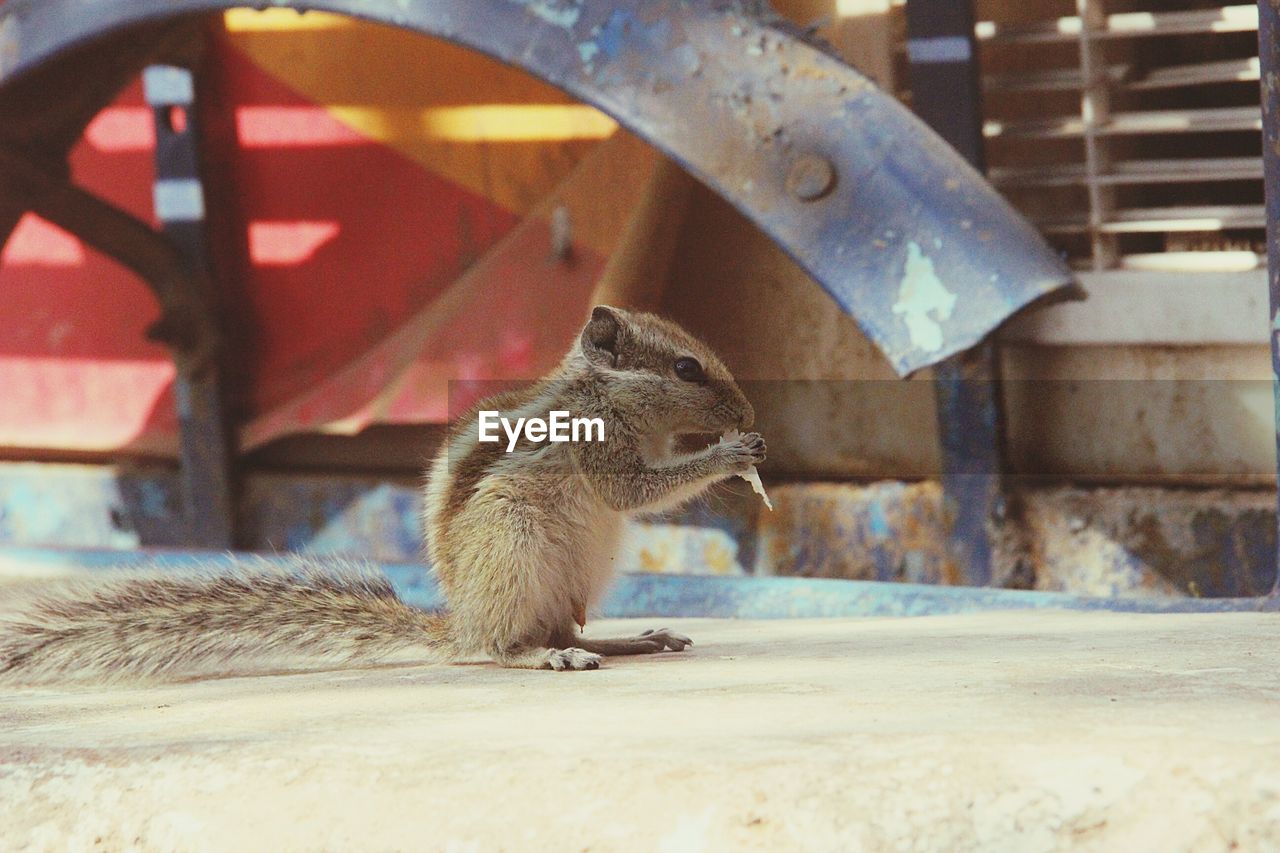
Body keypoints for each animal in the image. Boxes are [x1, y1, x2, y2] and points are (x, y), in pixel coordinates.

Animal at [0, 306, 762, 686]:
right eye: (686, 368)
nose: (748, 411)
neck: (600, 392)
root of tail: (459, 623)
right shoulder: (598, 447)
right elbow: (635, 489)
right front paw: (729, 454)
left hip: (584, 572)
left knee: (565, 626)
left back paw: (634, 637)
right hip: (515, 546)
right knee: (504, 647)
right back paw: (545, 657)